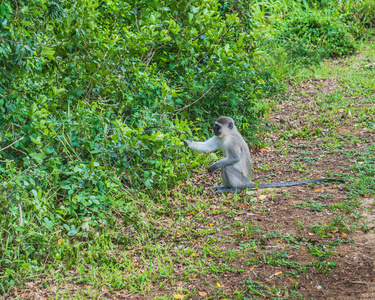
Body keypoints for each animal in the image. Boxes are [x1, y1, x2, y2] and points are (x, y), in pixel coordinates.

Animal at [184, 116, 346, 193]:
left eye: (217, 127)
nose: (214, 130)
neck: (227, 135)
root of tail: (248, 181)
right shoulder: (219, 139)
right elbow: (207, 147)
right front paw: (186, 142)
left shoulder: (233, 142)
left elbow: (234, 158)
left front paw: (213, 166)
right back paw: (223, 186)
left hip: (241, 180)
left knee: (227, 167)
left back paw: (231, 189)